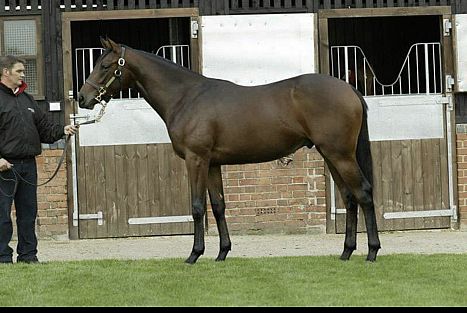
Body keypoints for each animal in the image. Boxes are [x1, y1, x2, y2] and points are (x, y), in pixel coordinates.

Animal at [79, 37, 380, 264]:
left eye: (105, 65)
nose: (82, 97)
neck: (186, 97)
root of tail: (349, 89)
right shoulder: (212, 163)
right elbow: (219, 205)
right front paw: (222, 253)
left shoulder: (196, 159)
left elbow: (197, 206)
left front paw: (194, 254)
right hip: (331, 155)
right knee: (349, 198)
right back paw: (346, 252)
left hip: (340, 156)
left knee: (363, 193)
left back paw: (372, 251)